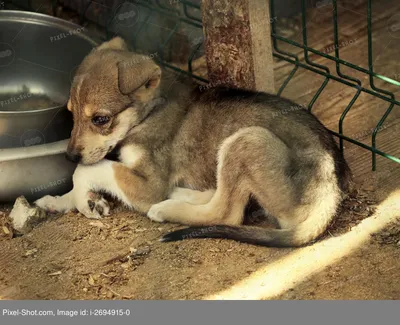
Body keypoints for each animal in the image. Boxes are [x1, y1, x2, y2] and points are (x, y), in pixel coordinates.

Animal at [36, 36, 352, 246]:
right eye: (71, 114)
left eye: (101, 119)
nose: (69, 156)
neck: (150, 112)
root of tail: (331, 188)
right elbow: (84, 174)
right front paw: (60, 201)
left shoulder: (148, 185)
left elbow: (88, 170)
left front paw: (81, 198)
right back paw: (184, 194)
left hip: (247, 140)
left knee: (226, 213)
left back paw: (167, 208)